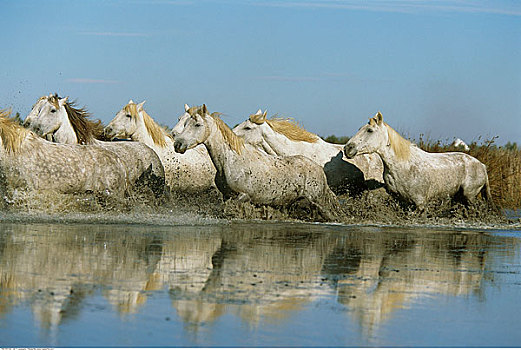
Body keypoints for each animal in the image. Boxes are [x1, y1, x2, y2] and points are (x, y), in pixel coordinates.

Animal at [172, 104, 342, 221]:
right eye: (184, 123)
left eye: (197, 124)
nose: (178, 144)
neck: (230, 160)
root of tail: (320, 170)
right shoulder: (227, 196)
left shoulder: (244, 196)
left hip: (318, 202)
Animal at [344, 113, 494, 211]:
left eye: (369, 130)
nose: (347, 148)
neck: (403, 166)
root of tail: (482, 165)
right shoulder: (402, 201)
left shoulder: (420, 204)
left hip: (470, 196)